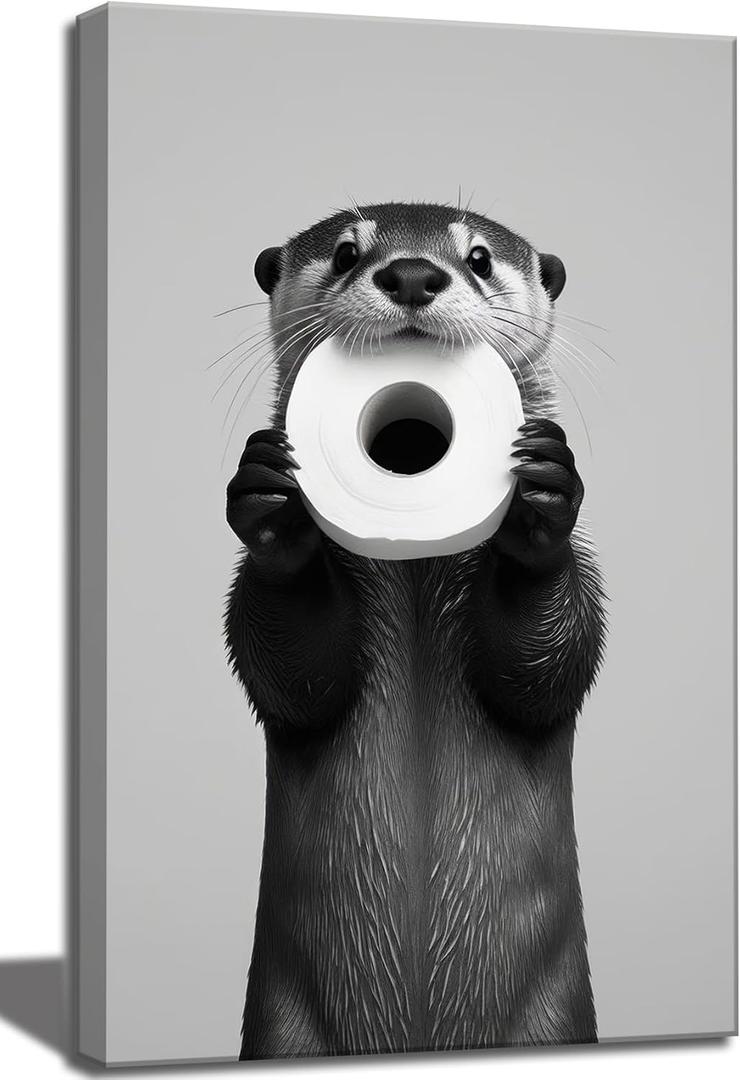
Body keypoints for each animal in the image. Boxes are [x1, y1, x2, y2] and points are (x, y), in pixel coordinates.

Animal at [225, 202, 606, 1059]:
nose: (410, 273)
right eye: (344, 252)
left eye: (478, 257)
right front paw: (273, 505)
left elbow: (548, 666)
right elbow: (293, 673)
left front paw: (541, 501)